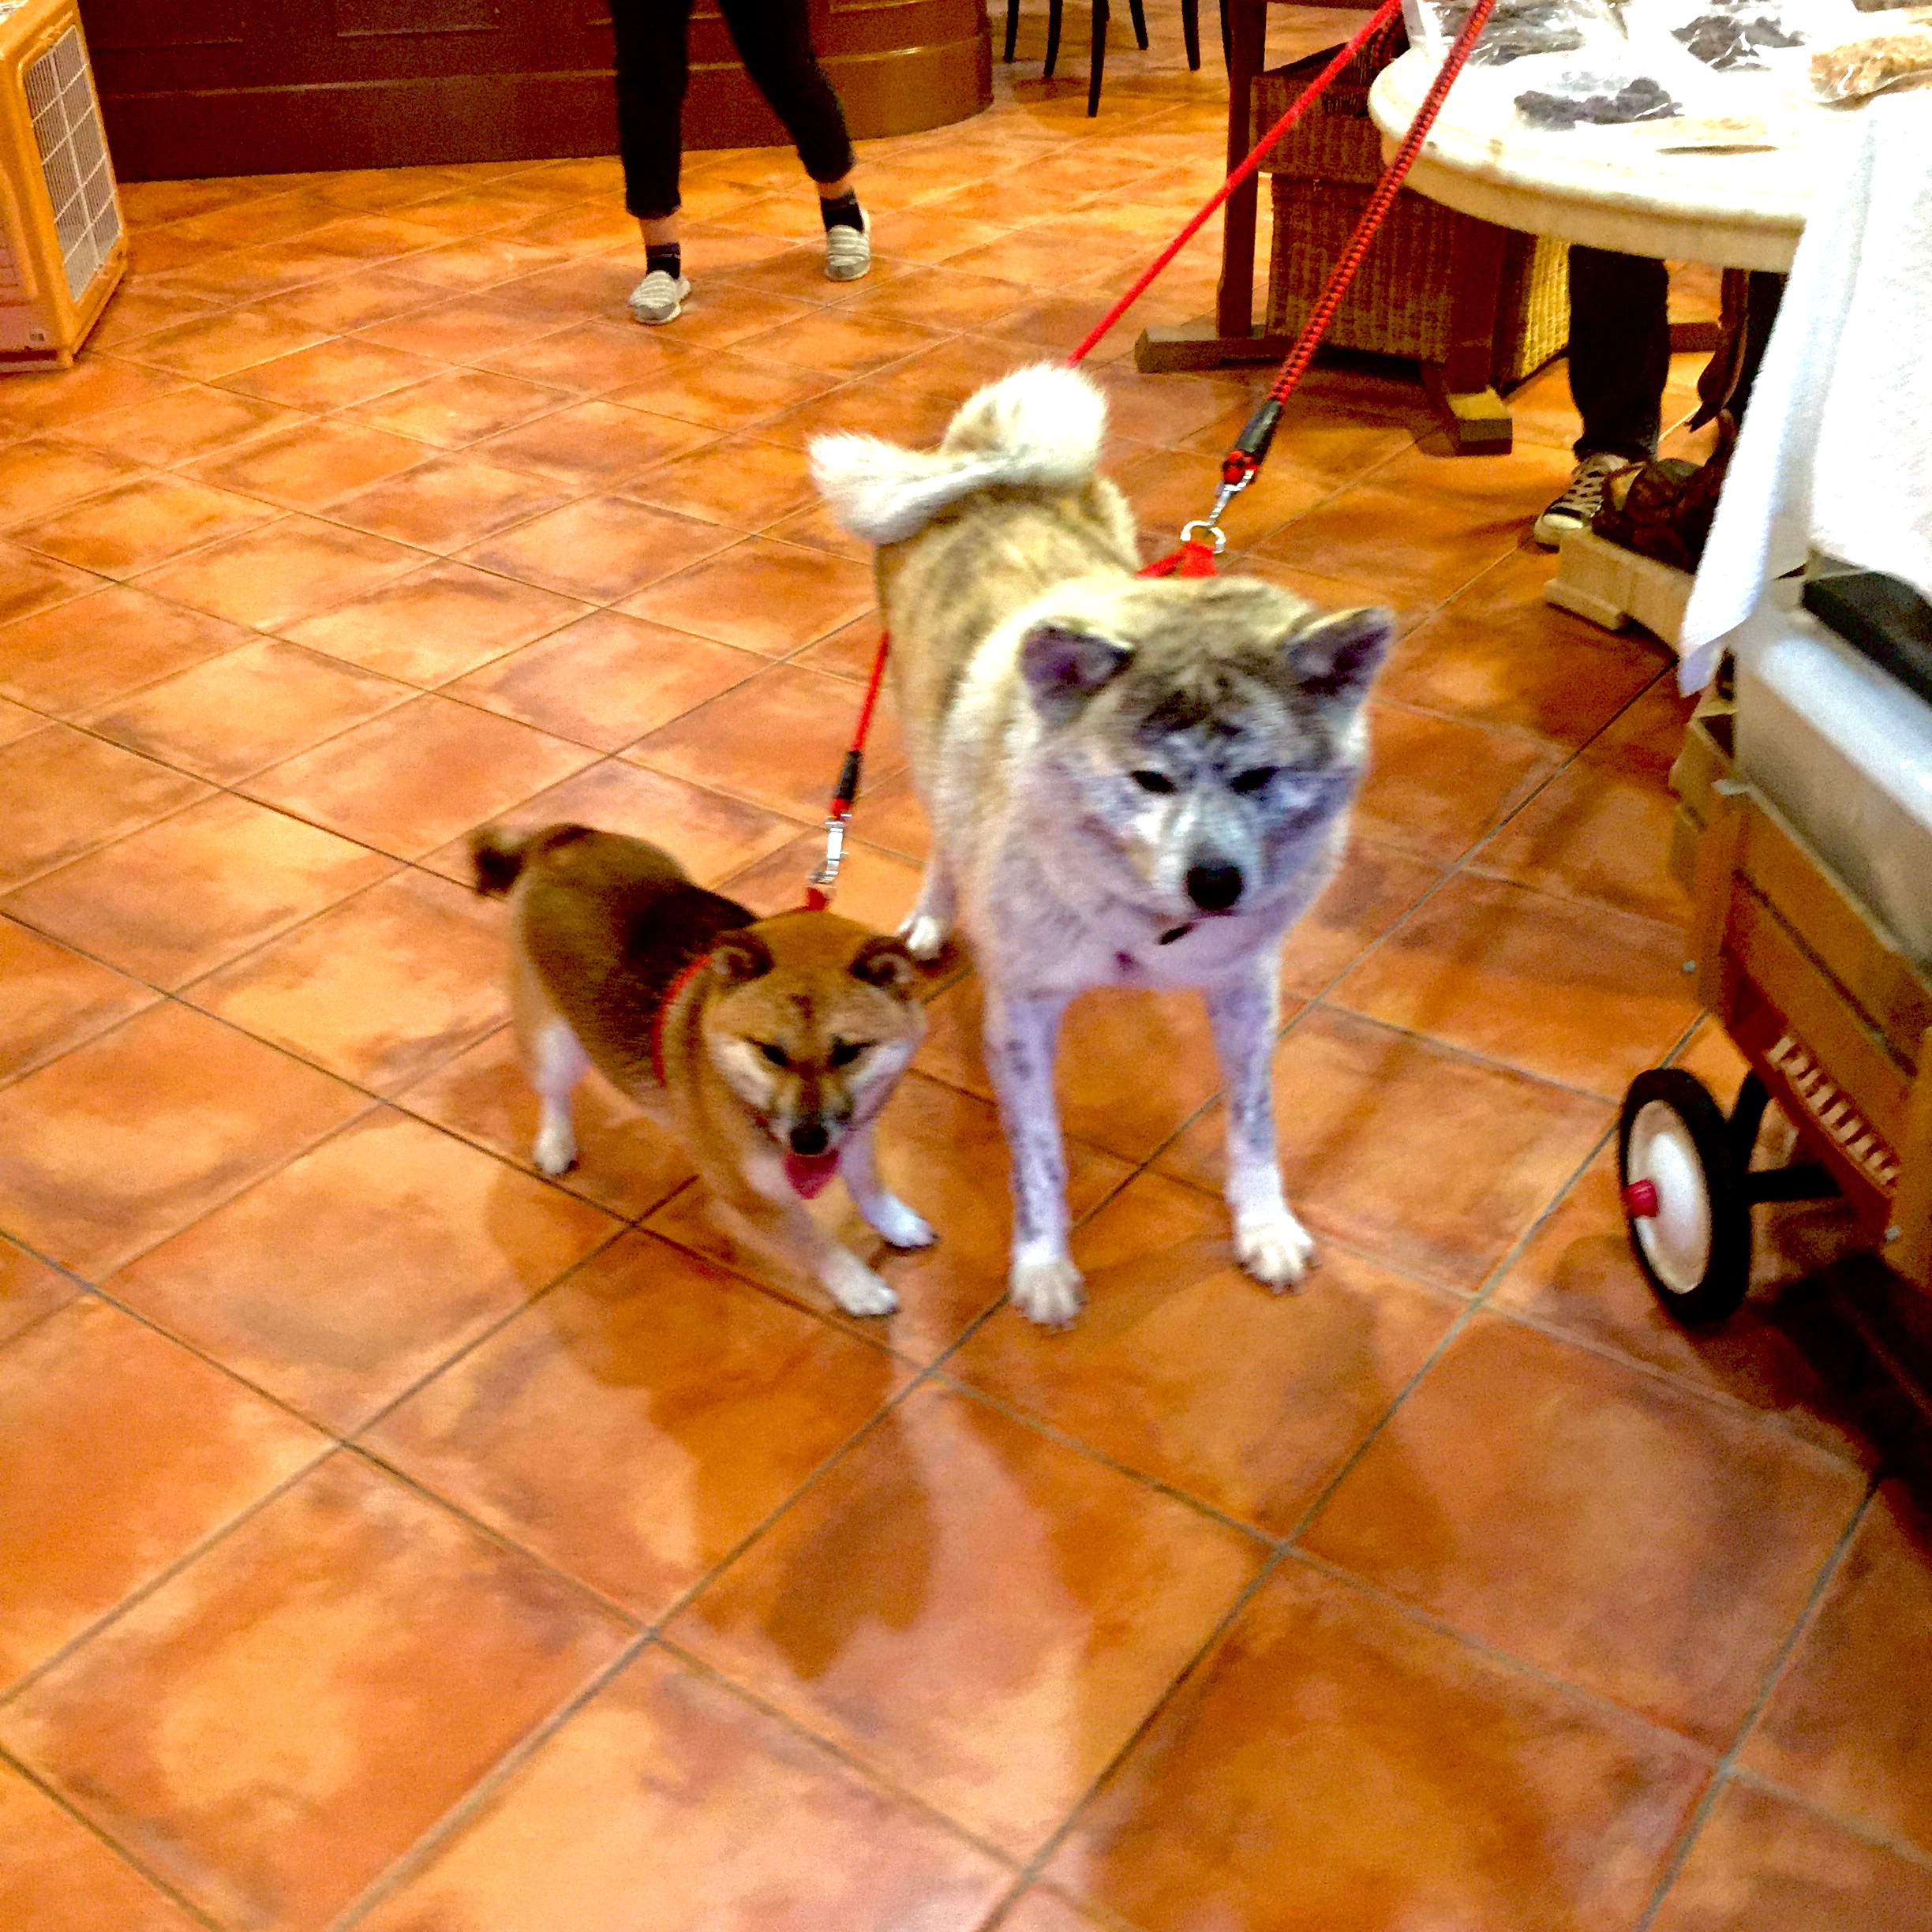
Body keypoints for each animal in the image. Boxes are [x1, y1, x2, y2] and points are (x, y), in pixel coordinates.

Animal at [469, 823, 932, 1316]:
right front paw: (858, 1286)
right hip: (555, 1042)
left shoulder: (857, 1133)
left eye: (849, 1053)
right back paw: (556, 1142)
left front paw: (895, 1222)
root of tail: (564, 838)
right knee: (553, 1092)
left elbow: (868, 1185)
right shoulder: (752, 1197)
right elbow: (815, 1244)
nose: (808, 1141)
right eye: (771, 1052)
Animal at [809, 364, 1391, 1327]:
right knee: (943, 826)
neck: (1142, 918)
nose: (1216, 884)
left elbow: (1254, 1119)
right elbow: (1040, 1154)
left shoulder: (1245, 986)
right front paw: (1042, 1265)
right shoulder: (1024, 1013)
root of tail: (988, 471)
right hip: (922, 733)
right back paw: (932, 916)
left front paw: (1263, 1225)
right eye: (1149, 780)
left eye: (1259, 776)